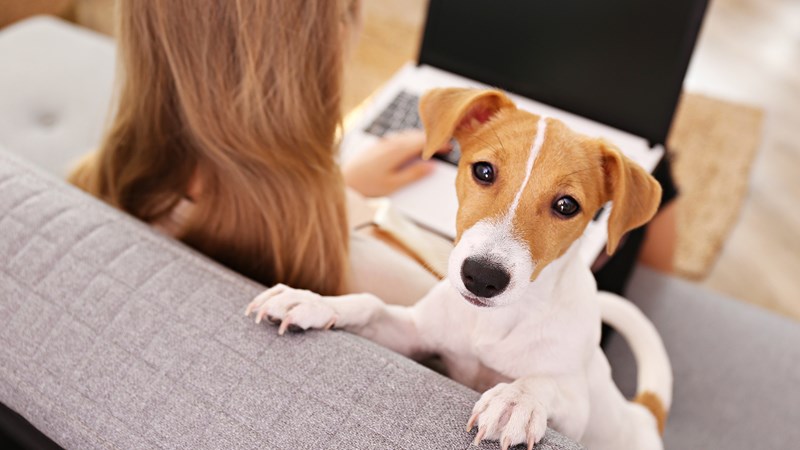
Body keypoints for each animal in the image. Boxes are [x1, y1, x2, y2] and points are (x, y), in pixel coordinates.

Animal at [247, 89, 672, 450]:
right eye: (483, 171)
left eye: (567, 206)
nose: (483, 277)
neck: (493, 323)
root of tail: (643, 416)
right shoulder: (414, 334)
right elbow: (369, 304)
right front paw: (313, 301)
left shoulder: (576, 410)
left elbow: (542, 382)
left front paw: (516, 399)